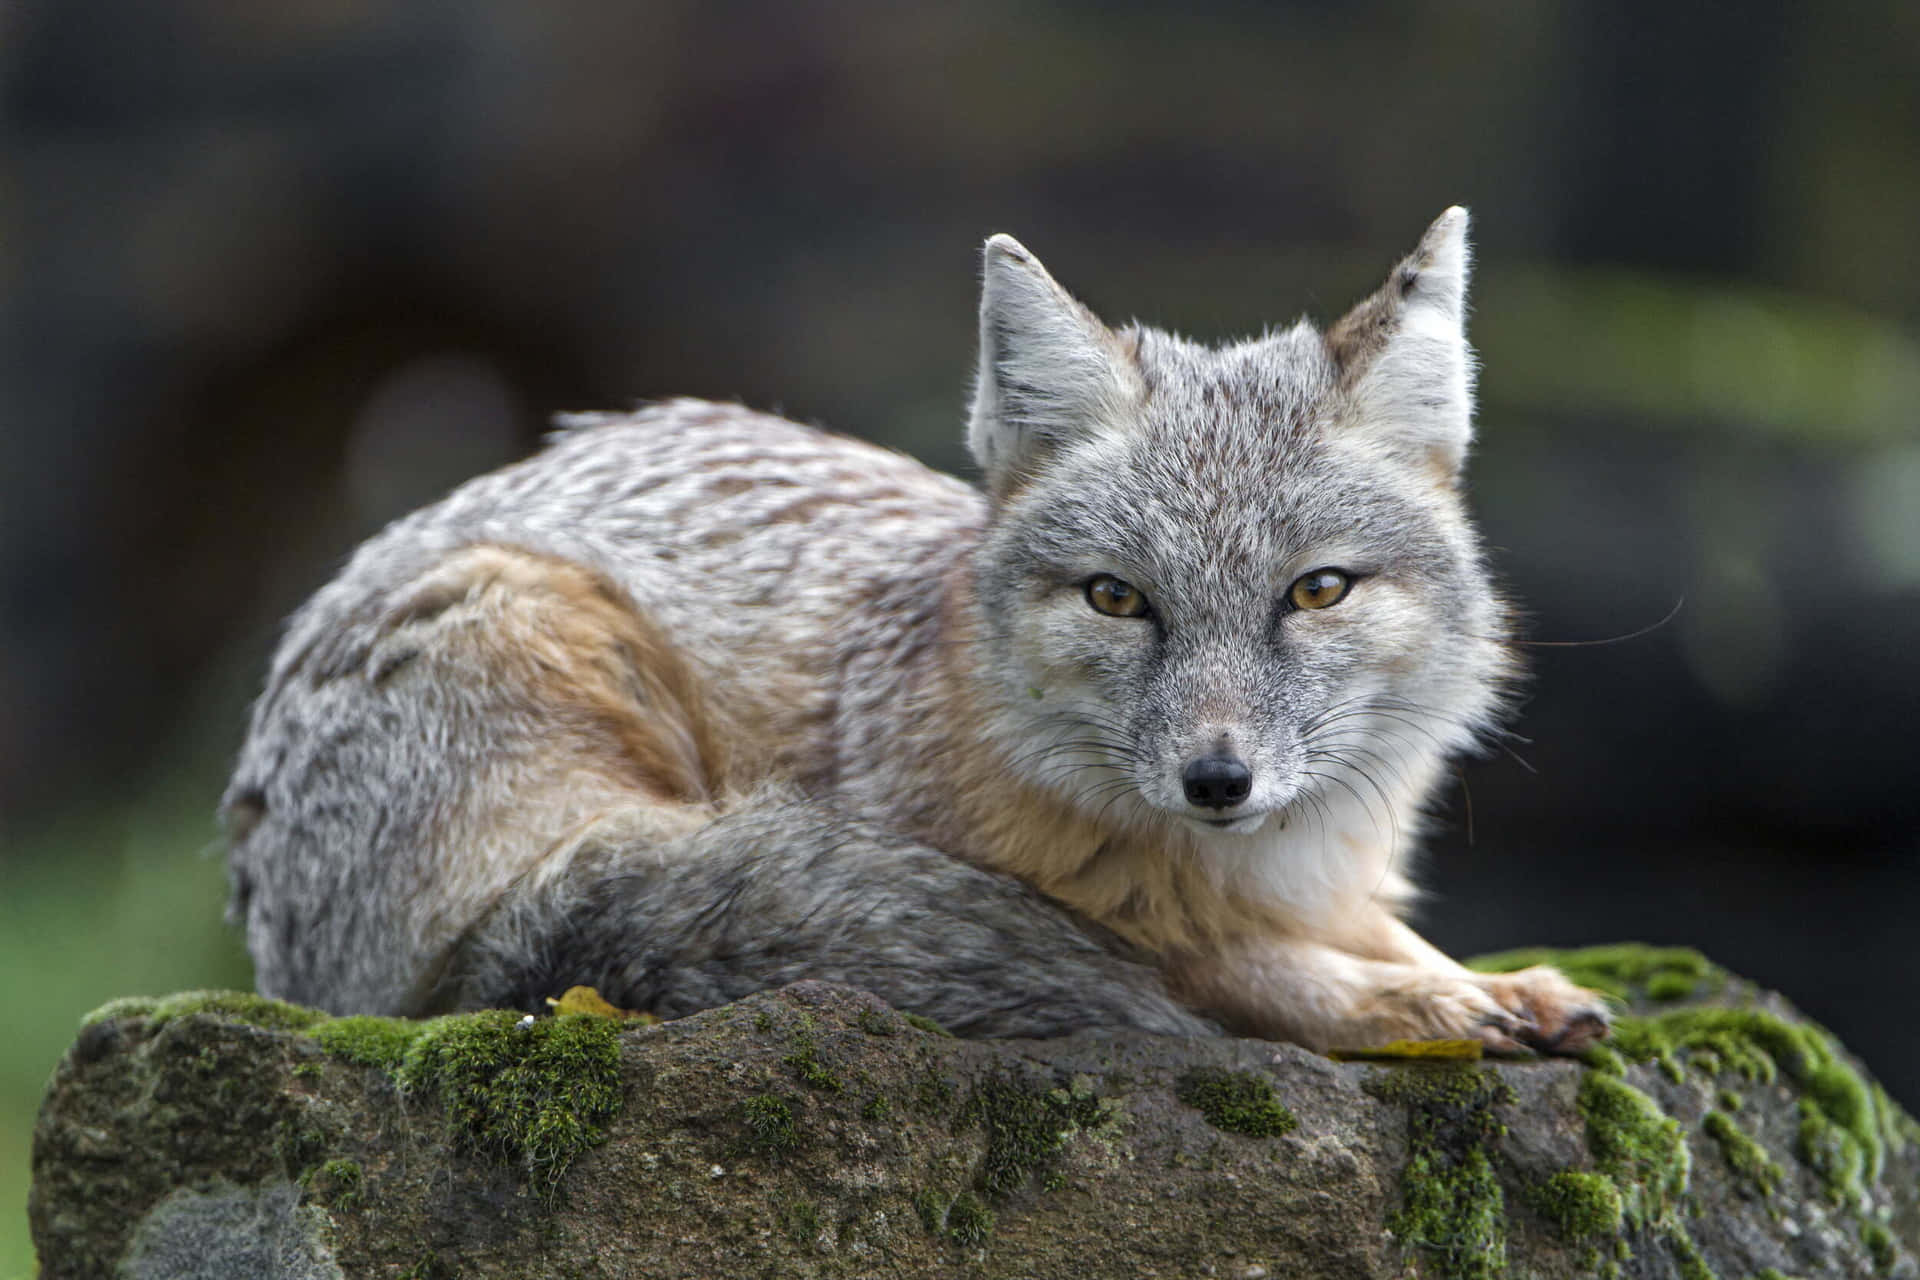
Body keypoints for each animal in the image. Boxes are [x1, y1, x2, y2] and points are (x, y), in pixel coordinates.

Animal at [220, 208, 1605, 1051]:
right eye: (1119, 597)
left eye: (1314, 591)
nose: (1218, 779)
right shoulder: (1118, 916)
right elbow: (1235, 970)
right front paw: (1413, 1002)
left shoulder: (1330, 883)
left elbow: (1378, 932)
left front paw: (1488, 978)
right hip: (548, 653)